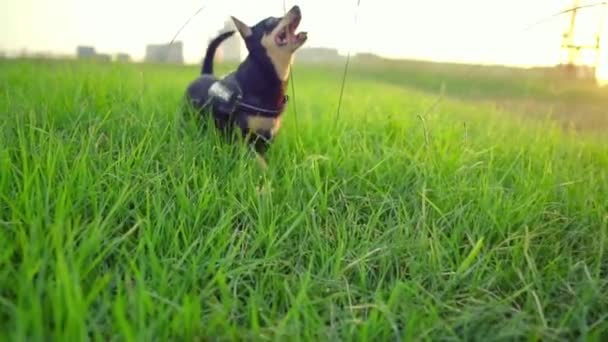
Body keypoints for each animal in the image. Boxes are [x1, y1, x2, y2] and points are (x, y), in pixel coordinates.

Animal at [184, 5, 308, 166]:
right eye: (270, 21)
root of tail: (205, 73)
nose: (296, 7)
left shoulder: (267, 139)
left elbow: (264, 157)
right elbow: (259, 161)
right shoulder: (243, 139)